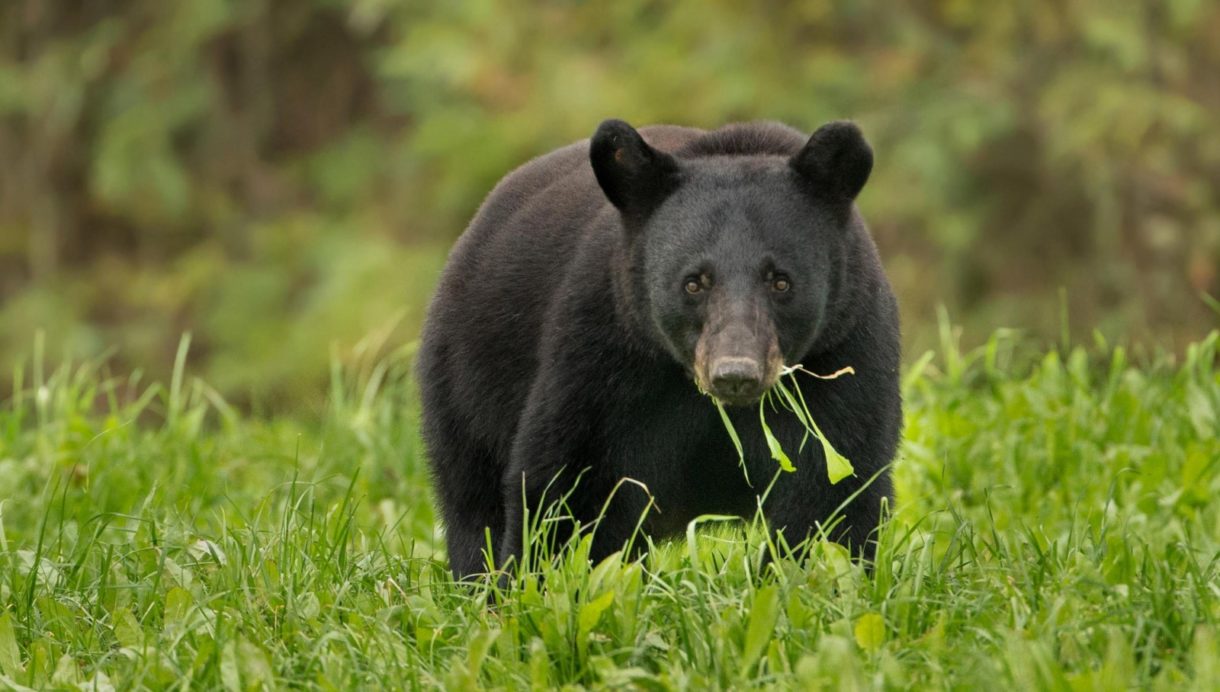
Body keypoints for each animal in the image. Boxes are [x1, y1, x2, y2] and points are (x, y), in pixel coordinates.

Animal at [414, 118, 902, 578]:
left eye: (780, 281)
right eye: (694, 282)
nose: (735, 374)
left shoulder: (844, 353)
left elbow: (831, 490)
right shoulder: (604, 357)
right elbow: (570, 488)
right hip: (467, 382)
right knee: (472, 505)